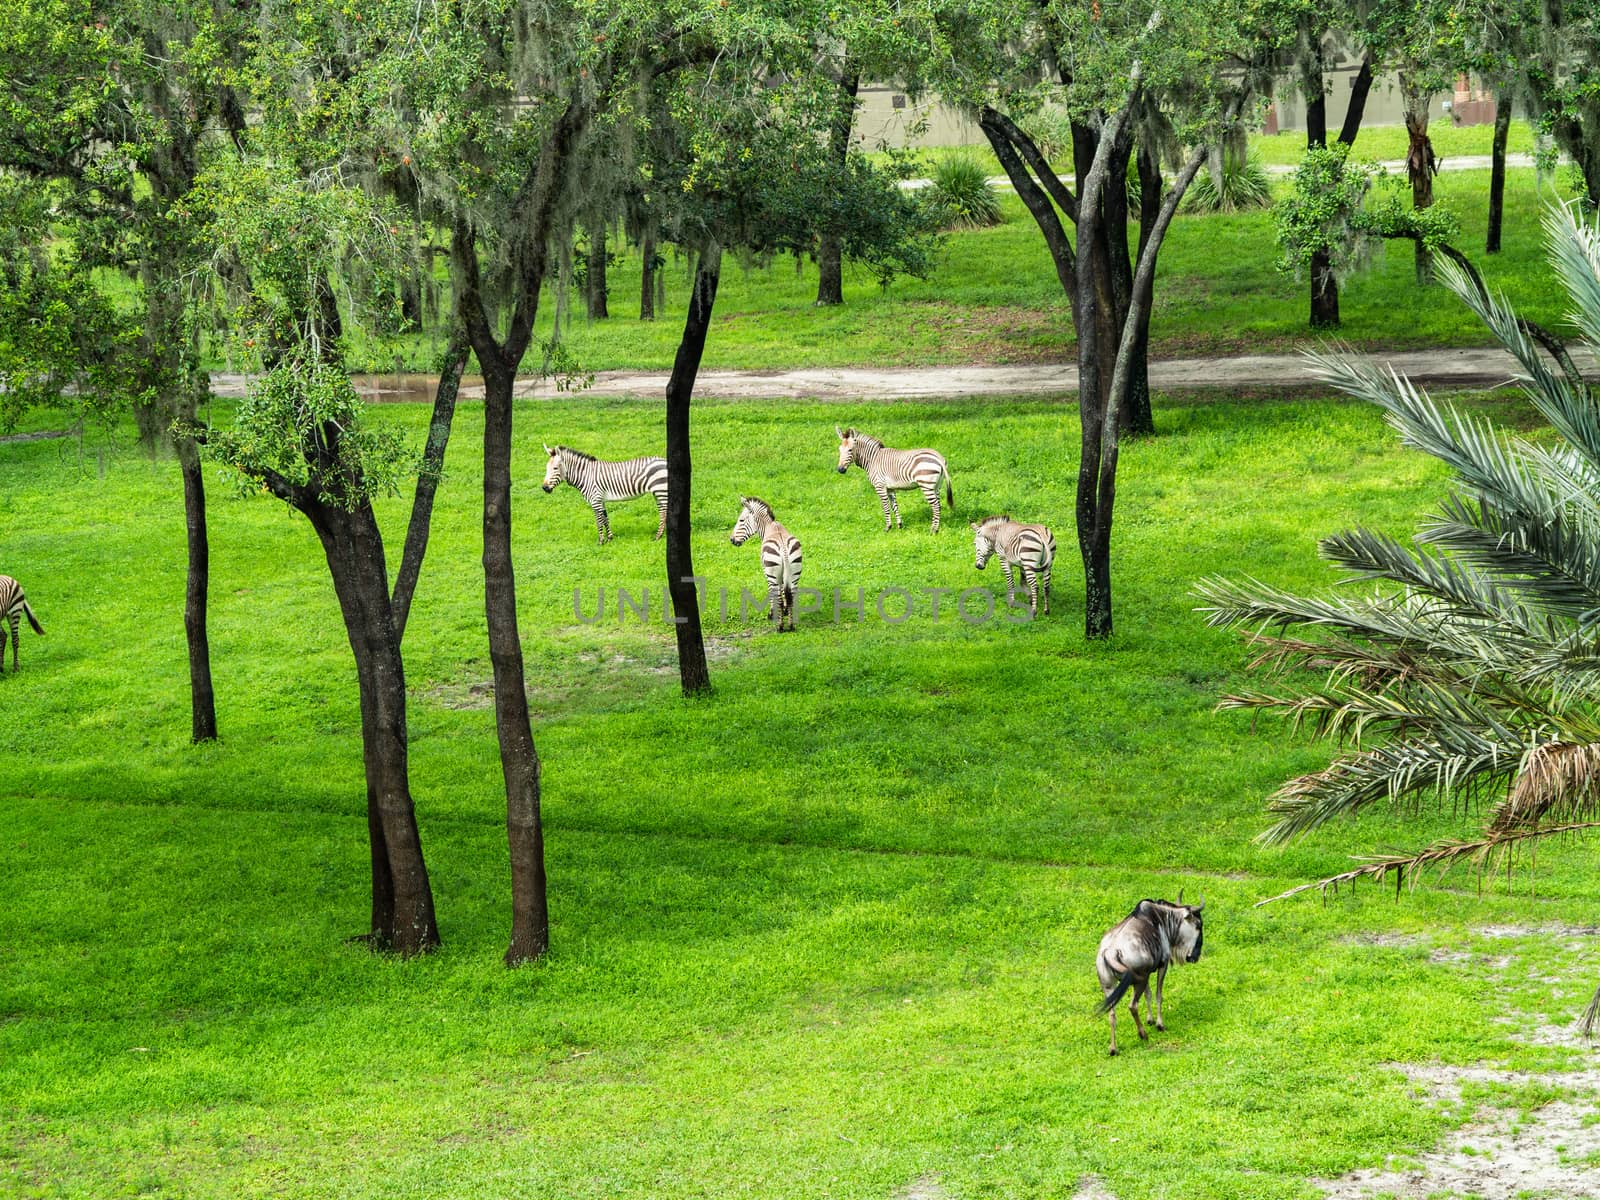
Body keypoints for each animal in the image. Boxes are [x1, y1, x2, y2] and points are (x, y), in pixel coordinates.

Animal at [732, 496, 806, 633]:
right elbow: (784, 590)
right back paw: (791, 626)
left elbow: (771, 592)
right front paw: (784, 612)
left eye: (741, 520)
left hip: (772, 573)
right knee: (791, 598)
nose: (732, 540)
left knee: (779, 598)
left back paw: (780, 627)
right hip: (795, 573)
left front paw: (772, 614)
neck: (769, 526)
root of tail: (783, 549)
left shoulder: (766, 571)